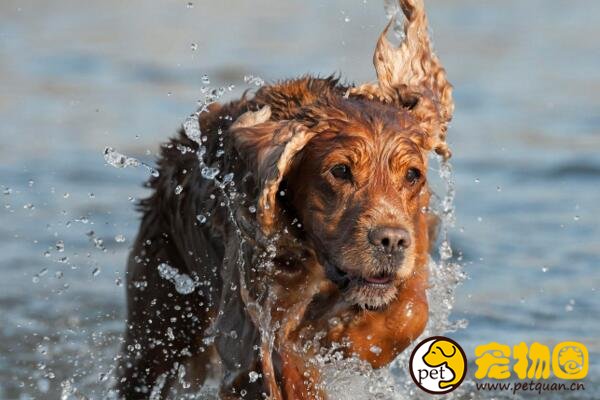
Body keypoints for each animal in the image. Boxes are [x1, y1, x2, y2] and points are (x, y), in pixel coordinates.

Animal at [116, 1, 454, 398]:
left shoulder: (416, 239)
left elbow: (411, 310)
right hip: (160, 307)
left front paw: (352, 339)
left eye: (413, 175)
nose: (390, 240)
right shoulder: (252, 308)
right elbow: (283, 363)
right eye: (340, 170)